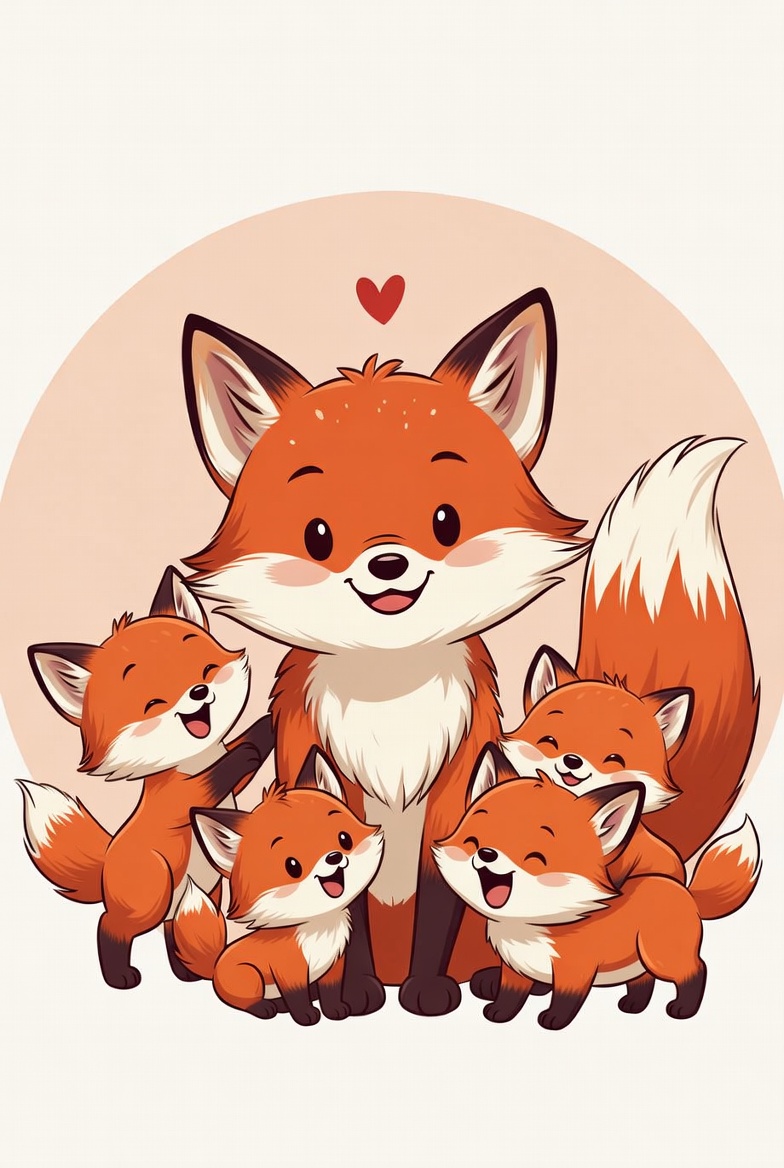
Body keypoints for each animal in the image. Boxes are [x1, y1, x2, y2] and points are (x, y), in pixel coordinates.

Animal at [19, 566, 273, 989]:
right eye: (154, 703)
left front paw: (266, 722)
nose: (199, 692)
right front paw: (245, 753)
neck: (195, 755)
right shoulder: (185, 793)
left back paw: (186, 974)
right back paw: (119, 977)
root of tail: (107, 863)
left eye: (205, 671)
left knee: (174, 929)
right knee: (111, 925)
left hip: (201, 892)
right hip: (153, 892)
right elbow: (222, 772)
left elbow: (249, 742)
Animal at [172, 747, 384, 1025]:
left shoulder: (335, 966)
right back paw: (265, 1008)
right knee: (243, 1002)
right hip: (251, 978)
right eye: (292, 866)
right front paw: (306, 1017)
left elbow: (330, 992)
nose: (334, 858)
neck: (319, 928)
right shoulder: (289, 971)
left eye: (344, 839)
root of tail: (215, 965)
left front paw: (336, 1011)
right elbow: (297, 996)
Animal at [433, 744, 761, 1026]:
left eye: (536, 858)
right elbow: (510, 997)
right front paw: (499, 1014)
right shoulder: (515, 971)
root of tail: (682, 889)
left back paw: (683, 1009)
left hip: (662, 958)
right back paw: (634, 1006)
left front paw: (553, 1021)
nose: (487, 854)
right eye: (474, 841)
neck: (531, 928)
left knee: (696, 971)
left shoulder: (574, 971)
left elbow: (565, 1000)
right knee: (644, 982)